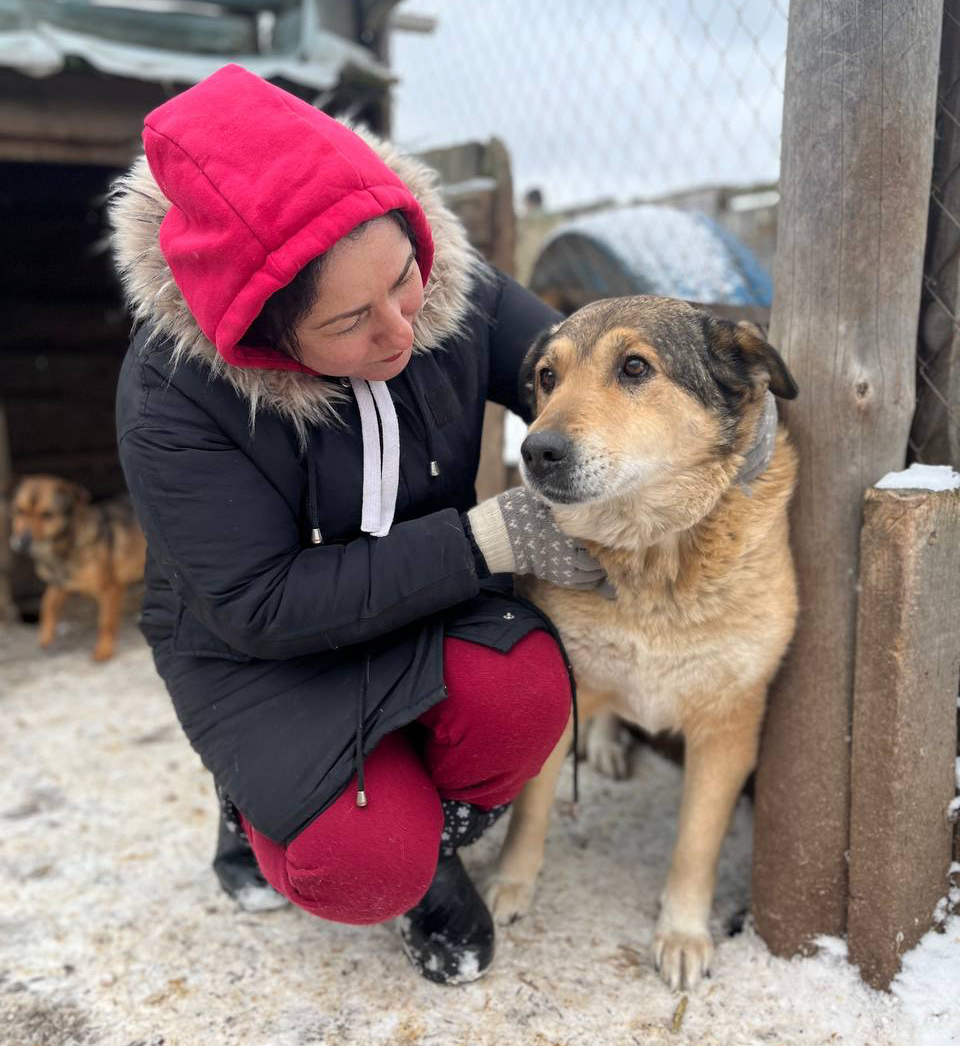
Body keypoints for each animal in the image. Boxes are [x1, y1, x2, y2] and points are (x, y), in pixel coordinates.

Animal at [9, 476, 146, 661]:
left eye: (47, 514)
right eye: (20, 511)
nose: (22, 542)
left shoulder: (111, 589)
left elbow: (106, 622)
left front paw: (104, 650)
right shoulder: (59, 584)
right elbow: (47, 604)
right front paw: (45, 637)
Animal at [485, 294, 798, 987]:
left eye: (634, 367)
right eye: (547, 376)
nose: (537, 451)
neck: (655, 554)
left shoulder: (728, 731)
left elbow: (696, 845)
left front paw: (682, 933)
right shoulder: (565, 687)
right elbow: (532, 810)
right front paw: (509, 885)